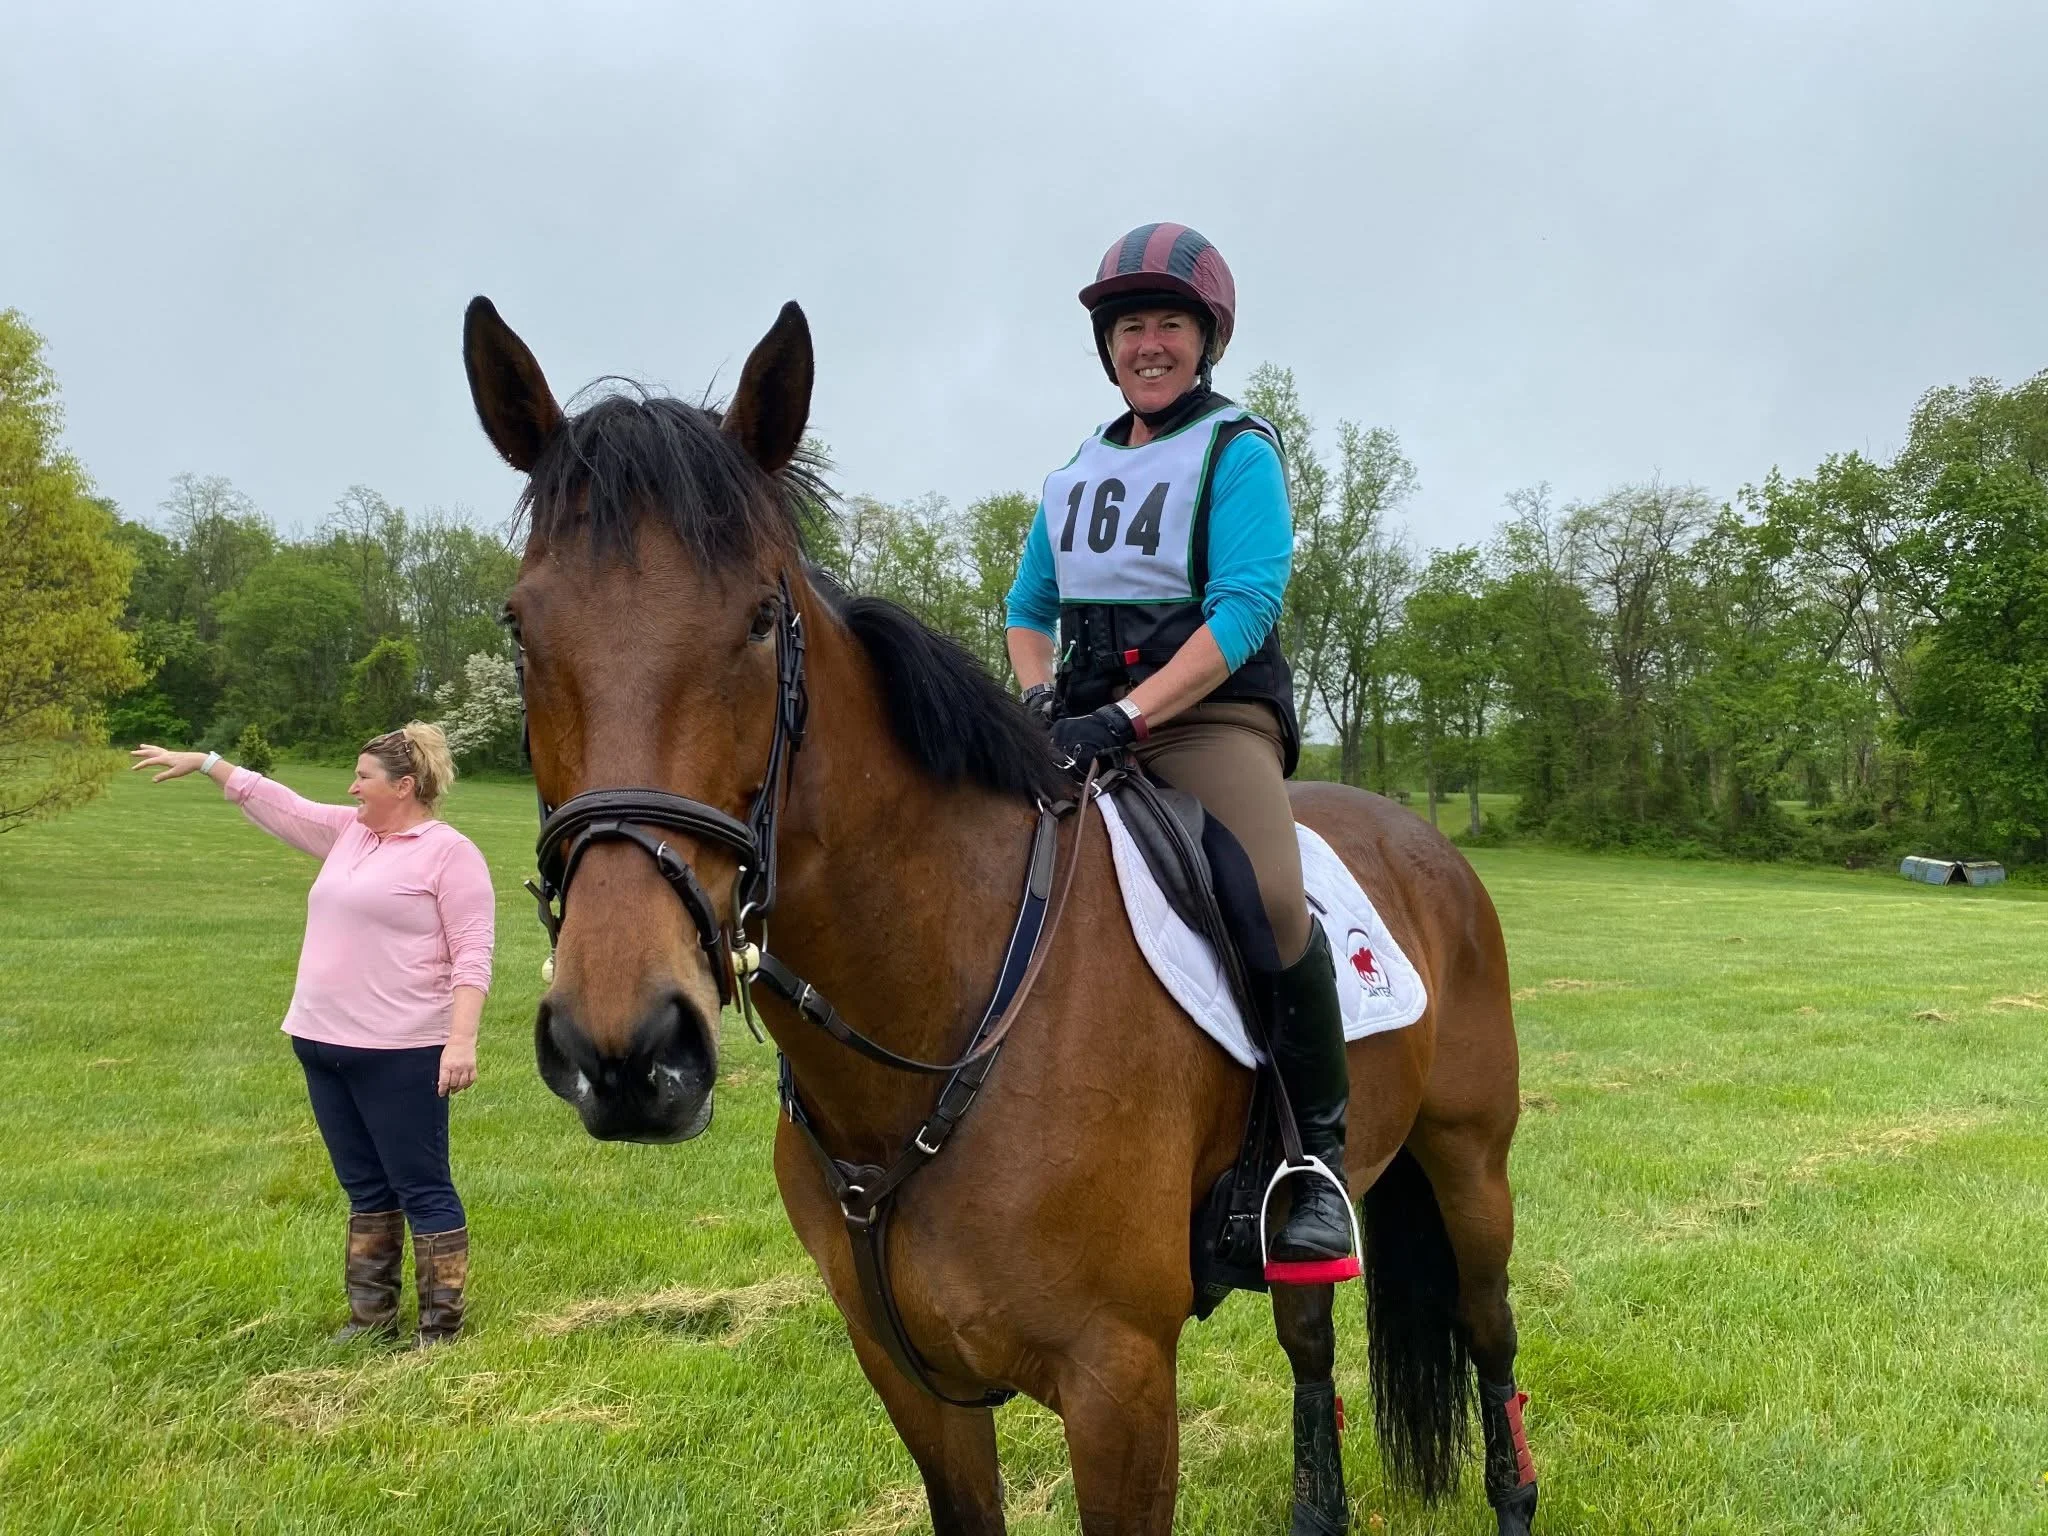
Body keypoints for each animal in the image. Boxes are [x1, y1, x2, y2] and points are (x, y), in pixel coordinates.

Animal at [464, 294, 1537, 1535]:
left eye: (757, 620)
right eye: (521, 627)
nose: (625, 1048)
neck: (942, 1022)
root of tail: (1425, 843)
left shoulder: (1118, 1383)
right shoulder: (911, 1380)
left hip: (1468, 1169)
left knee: (1488, 1326)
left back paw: (1514, 1497)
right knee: (1310, 1338)